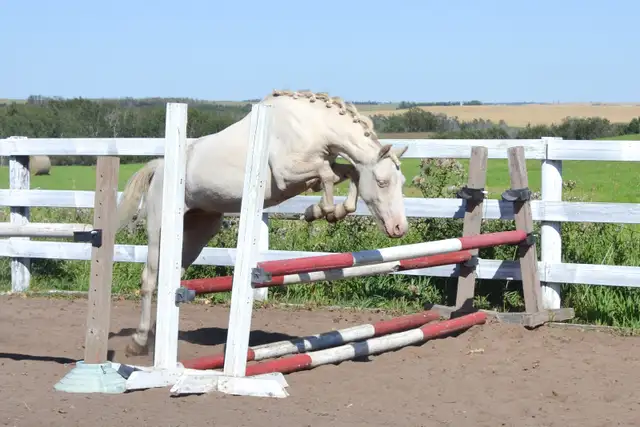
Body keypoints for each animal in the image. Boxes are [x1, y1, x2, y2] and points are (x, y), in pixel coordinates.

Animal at [116, 89, 410, 356]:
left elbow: (347, 173)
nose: (399, 228)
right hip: (160, 230)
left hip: (198, 231)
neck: (312, 126)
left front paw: (326, 211)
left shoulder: (314, 171)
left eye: (402, 182)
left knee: (171, 277)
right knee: (149, 279)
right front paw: (320, 211)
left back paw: (157, 335)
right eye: (382, 182)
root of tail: (159, 168)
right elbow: (327, 175)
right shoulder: (287, 174)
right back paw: (138, 342)